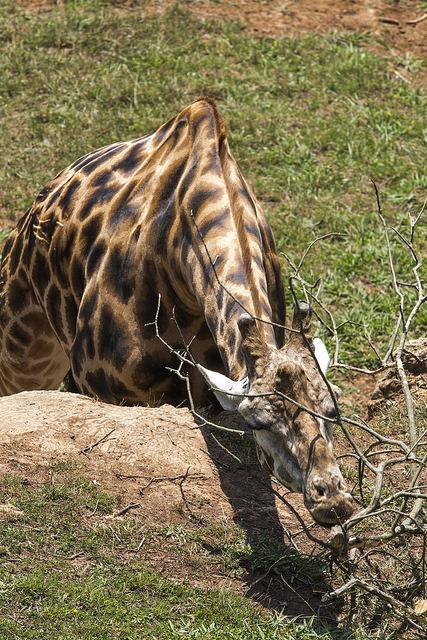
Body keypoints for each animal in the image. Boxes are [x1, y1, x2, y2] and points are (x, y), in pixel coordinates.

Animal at [0, 99, 354, 524]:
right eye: (258, 421)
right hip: (23, 347)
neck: (175, 252)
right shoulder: (110, 392)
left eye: (335, 409)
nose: (332, 500)